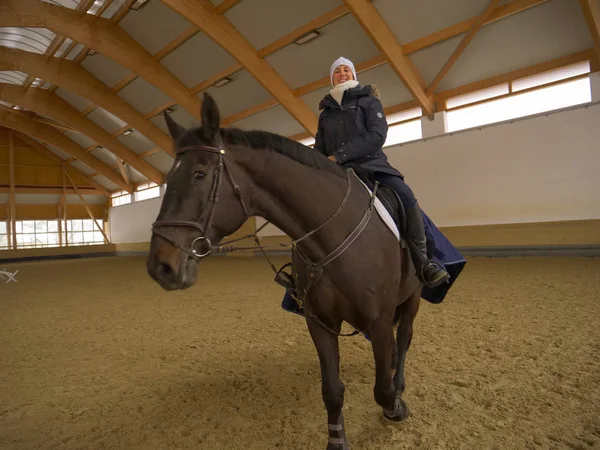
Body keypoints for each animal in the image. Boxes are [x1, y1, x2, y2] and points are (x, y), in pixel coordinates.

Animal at [146, 93, 422, 448]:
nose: (160, 266)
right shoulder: (320, 323)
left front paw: (395, 407)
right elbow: (332, 391)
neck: (330, 235)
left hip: (412, 298)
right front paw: (337, 439)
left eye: (198, 174)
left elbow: (382, 390)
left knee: (404, 338)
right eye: (167, 181)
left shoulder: (380, 320)